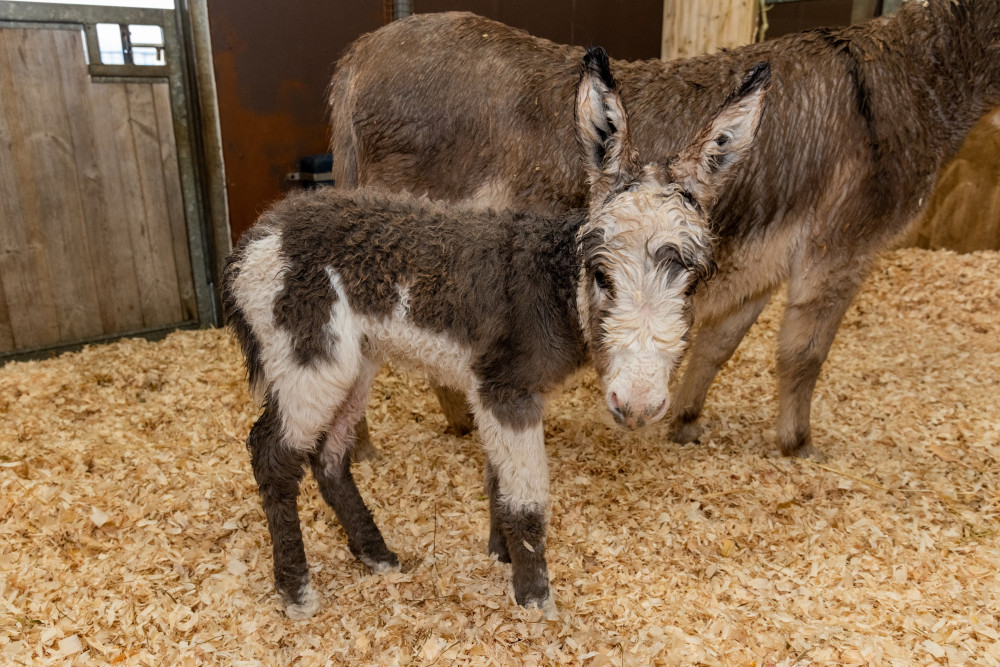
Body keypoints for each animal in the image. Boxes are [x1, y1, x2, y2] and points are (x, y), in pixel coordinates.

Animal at [227, 49, 768, 620]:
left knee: (329, 456)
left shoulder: (499, 393)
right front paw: (534, 602)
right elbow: (527, 501)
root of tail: (260, 235)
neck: (554, 284)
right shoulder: (506, 391)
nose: (638, 405)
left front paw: (500, 556)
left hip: (355, 362)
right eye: (600, 273)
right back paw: (297, 591)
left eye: (692, 281)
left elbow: (497, 480)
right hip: (308, 356)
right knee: (272, 454)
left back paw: (377, 556)